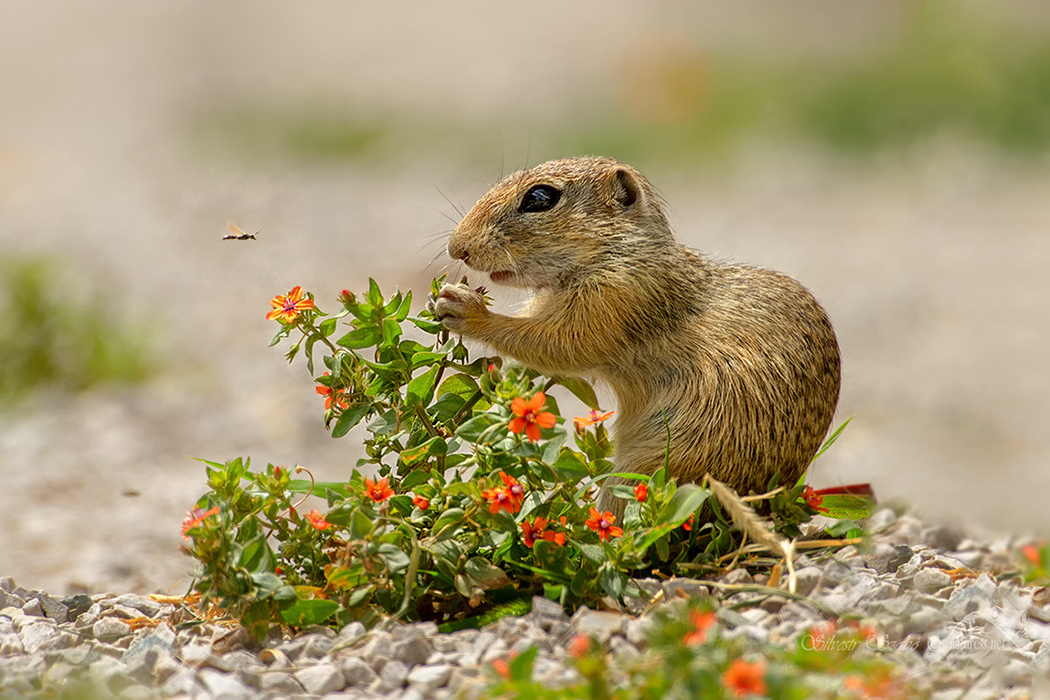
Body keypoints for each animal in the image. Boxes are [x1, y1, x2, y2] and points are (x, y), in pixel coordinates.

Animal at [430, 156, 839, 514]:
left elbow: (556, 343)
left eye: (540, 197)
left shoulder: (615, 301)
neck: (620, 252)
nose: (457, 248)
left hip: (643, 473)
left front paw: (464, 308)